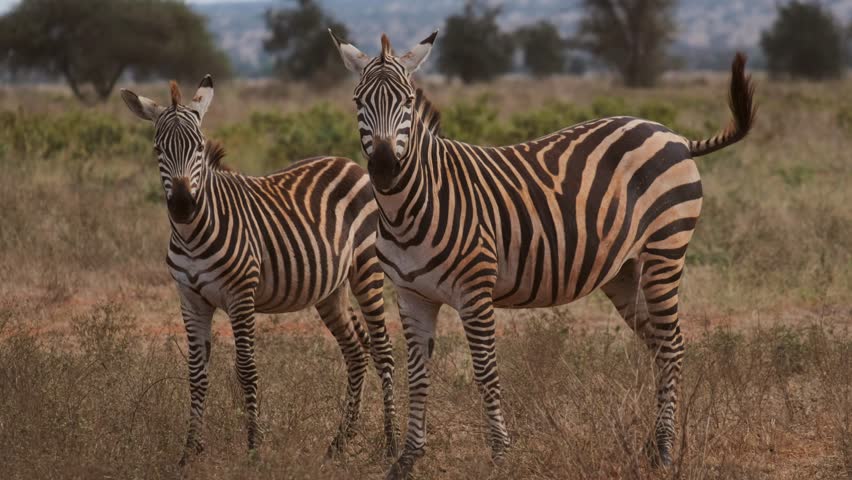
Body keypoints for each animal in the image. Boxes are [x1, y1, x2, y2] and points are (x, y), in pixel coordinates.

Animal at [120, 76, 400, 464]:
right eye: (158, 149)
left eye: (198, 148)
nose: (183, 206)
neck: (193, 234)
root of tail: (351, 163)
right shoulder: (190, 299)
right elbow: (196, 372)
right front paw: (190, 450)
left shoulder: (241, 295)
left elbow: (246, 368)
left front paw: (254, 446)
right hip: (331, 289)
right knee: (356, 349)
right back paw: (340, 441)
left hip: (367, 269)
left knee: (383, 350)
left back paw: (391, 444)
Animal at [330, 31, 755, 478]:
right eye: (358, 101)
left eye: (408, 101)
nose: (384, 168)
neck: (411, 206)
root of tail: (674, 136)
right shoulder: (411, 295)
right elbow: (417, 375)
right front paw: (407, 459)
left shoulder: (474, 291)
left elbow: (485, 371)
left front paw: (500, 456)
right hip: (627, 270)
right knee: (658, 344)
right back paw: (651, 446)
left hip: (666, 249)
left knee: (672, 345)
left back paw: (666, 451)